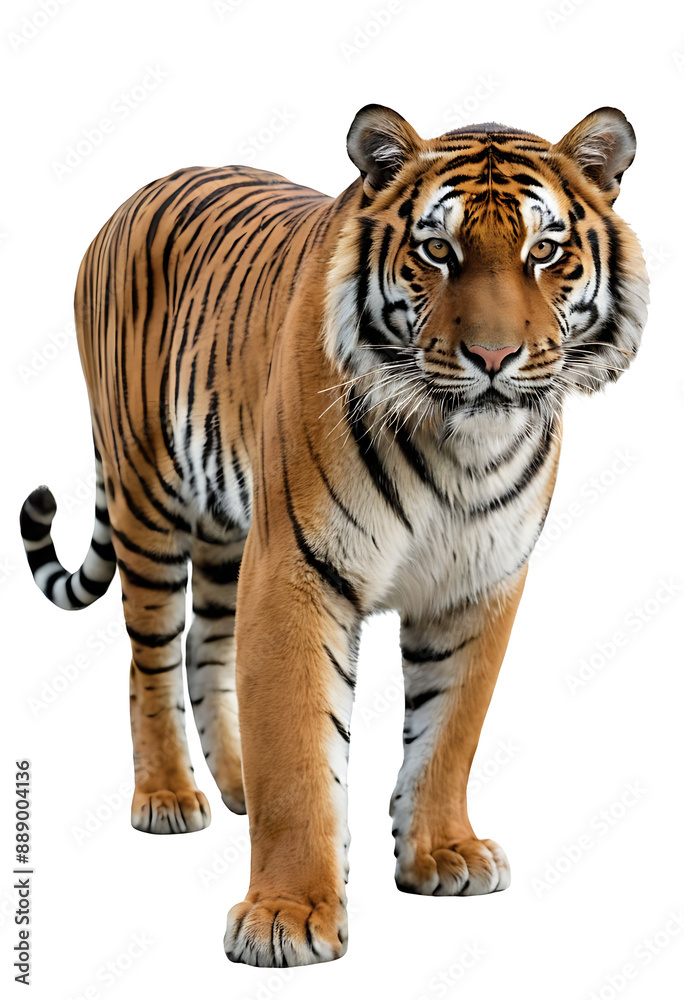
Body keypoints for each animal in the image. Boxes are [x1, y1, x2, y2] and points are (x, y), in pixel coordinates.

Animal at [20, 104, 648, 967]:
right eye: (437, 251)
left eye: (544, 251)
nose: (493, 357)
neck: (462, 447)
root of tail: (137, 193)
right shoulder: (296, 568)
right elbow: (298, 752)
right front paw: (285, 916)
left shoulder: (478, 583)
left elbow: (450, 730)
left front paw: (443, 854)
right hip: (147, 496)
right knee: (149, 657)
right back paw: (170, 796)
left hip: (228, 529)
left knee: (206, 644)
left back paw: (234, 782)